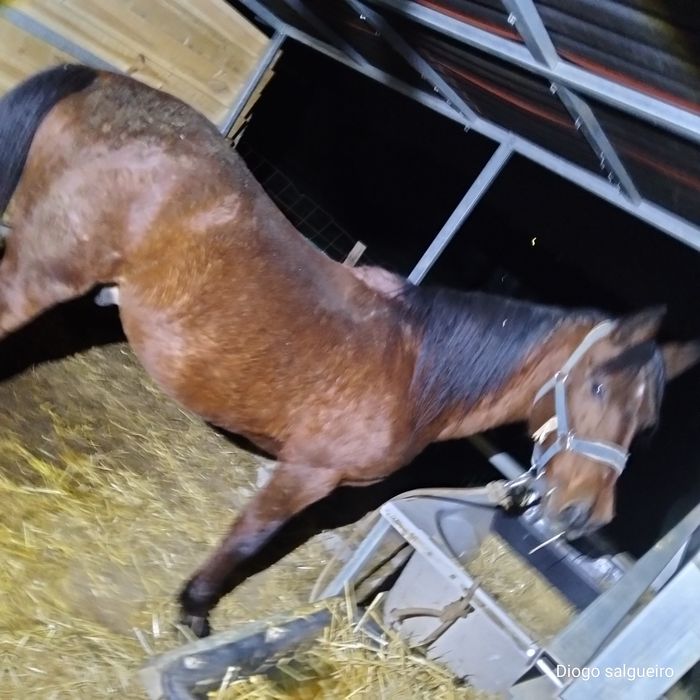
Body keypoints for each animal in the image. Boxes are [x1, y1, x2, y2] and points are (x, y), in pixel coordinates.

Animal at [1, 64, 698, 636]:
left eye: (647, 424)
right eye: (598, 386)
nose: (586, 515)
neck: (415, 372)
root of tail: (102, 84)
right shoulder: (307, 473)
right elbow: (249, 537)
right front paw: (195, 610)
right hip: (42, 274)